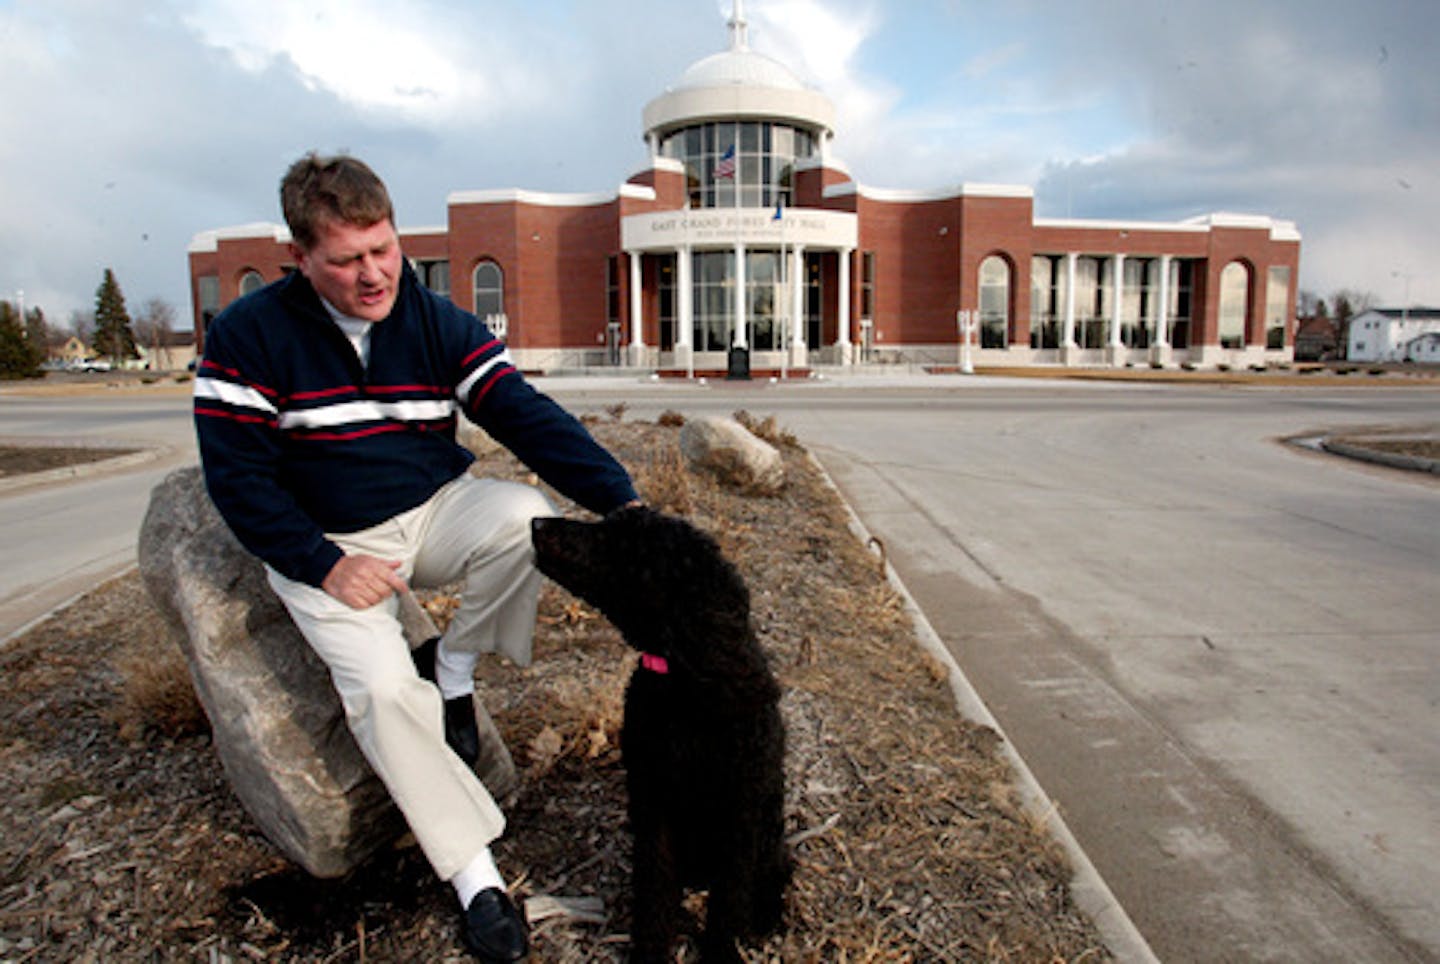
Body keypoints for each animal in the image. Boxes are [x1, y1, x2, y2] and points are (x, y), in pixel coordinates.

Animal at [535, 507, 794, 956]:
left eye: (619, 543)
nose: (536, 524)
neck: (686, 683)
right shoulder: (654, 804)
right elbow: (655, 889)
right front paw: (650, 949)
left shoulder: (739, 819)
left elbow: (729, 901)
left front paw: (722, 951)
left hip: (768, 840)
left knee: (771, 878)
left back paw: (767, 917)